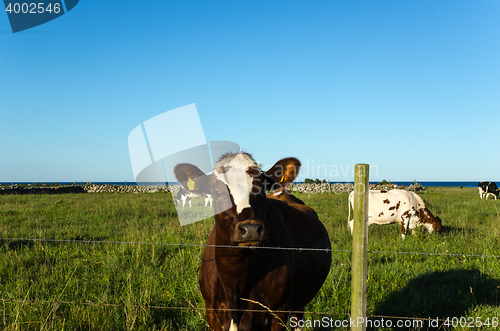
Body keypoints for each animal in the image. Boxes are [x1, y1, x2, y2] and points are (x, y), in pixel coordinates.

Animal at [174, 153, 334, 331]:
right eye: (218, 192)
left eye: (261, 190)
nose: (250, 229)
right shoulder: (212, 313)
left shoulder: (279, 311)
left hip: (299, 302)